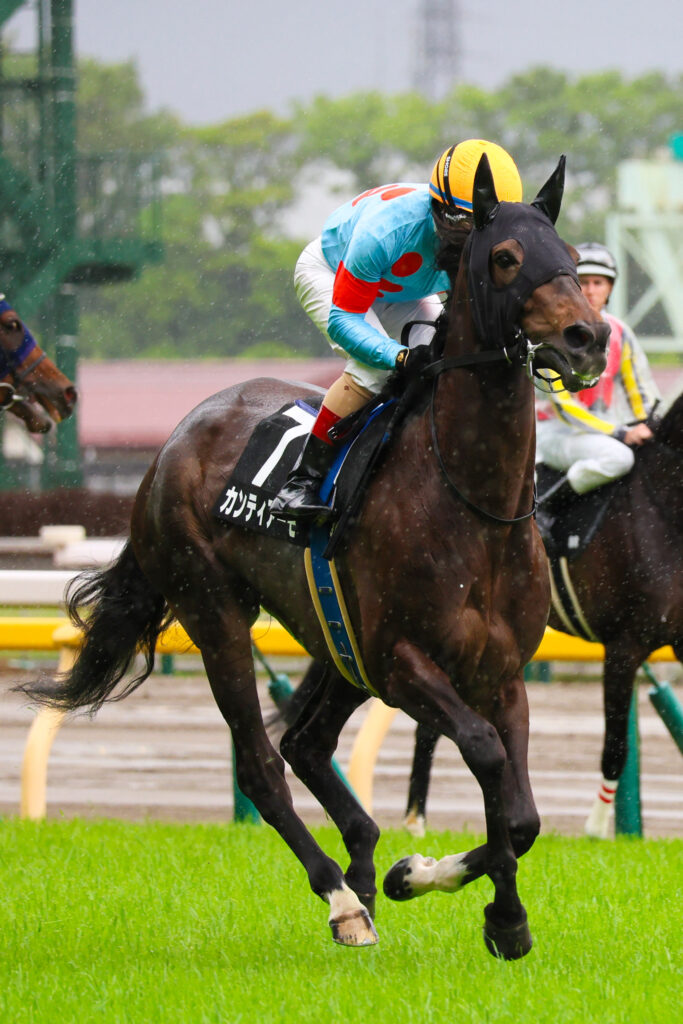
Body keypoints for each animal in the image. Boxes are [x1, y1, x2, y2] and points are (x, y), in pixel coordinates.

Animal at [22, 154, 609, 960]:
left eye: (570, 255)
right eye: (507, 259)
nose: (588, 337)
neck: (471, 503)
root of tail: (173, 442)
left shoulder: (499, 670)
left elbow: (519, 816)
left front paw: (487, 910)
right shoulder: (400, 660)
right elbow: (486, 755)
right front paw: (430, 880)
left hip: (335, 642)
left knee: (304, 742)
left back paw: (362, 866)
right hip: (216, 613)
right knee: (263, 764)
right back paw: (342, 897)